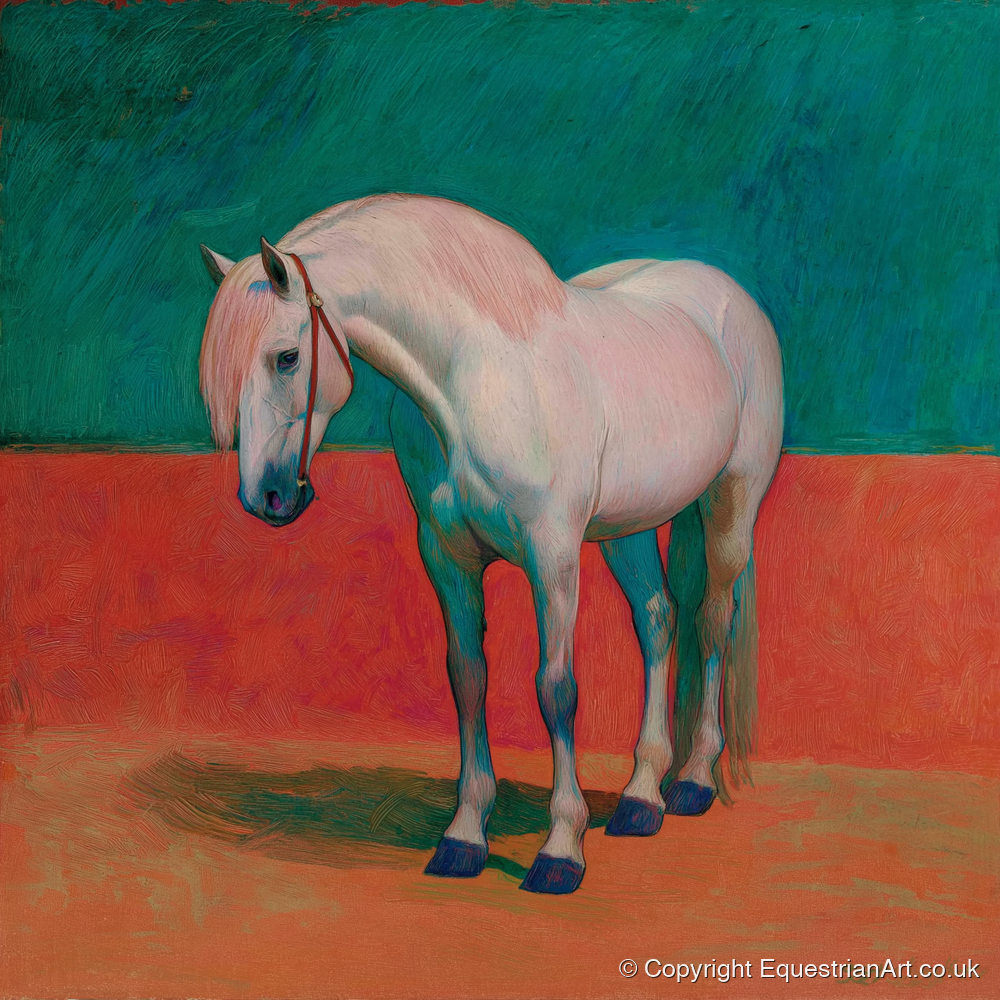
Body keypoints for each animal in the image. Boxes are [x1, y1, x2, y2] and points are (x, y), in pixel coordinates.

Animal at [198, 193, 783, 895]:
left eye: (287, 357)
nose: (266, 497)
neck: (475, 382)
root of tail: (723, 292)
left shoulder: (552, 557)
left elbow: (556, 689)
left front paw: (561, 849)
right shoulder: (446, 557)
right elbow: (468, 677)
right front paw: (464, 836)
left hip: (732, 504)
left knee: (711, 619)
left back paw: (693, 781)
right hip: (630, 528)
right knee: (658, 621)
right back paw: (642, 798)